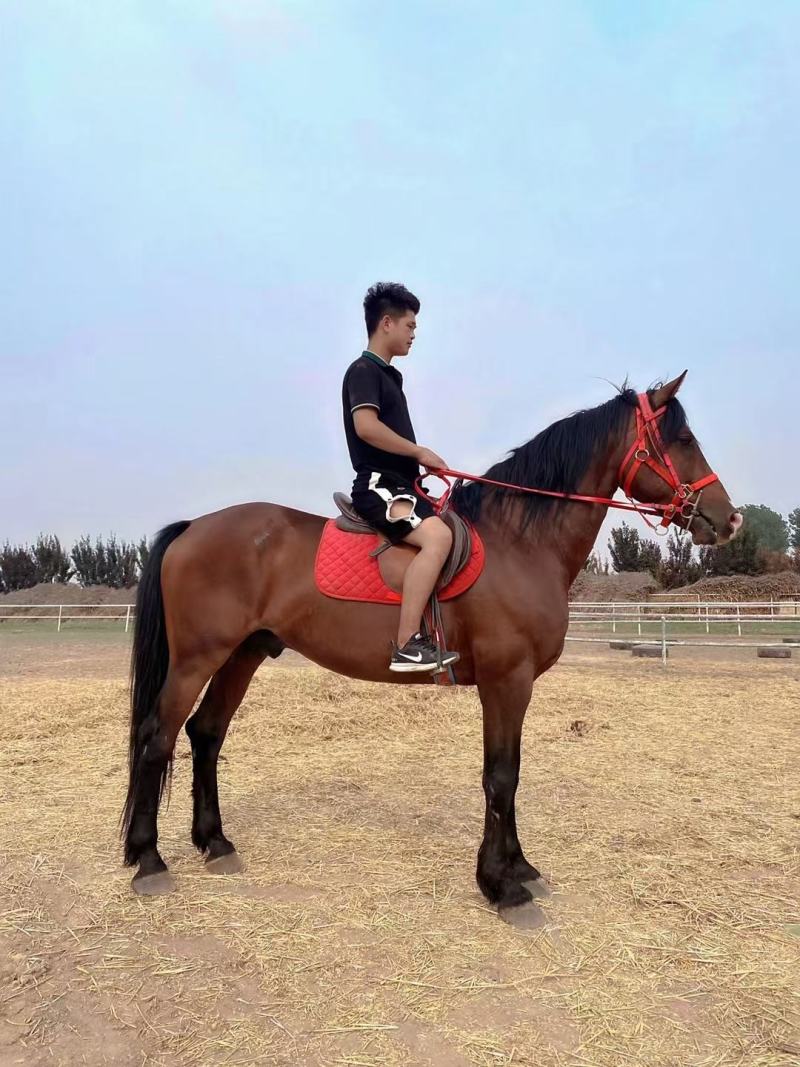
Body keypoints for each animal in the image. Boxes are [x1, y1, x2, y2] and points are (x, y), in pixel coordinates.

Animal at [121, 372, 741, 926]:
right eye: (684, 440)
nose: (728, 518)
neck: (520, 542)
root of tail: (193, 527)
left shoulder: (514, 686)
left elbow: (511, 773)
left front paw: (520, 869)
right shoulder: (506, 681)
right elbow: (501, 777)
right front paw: (502, 887)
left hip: (242, 654)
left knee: (205, 734)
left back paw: (215, 843)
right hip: (198, 657)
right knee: (157, 738)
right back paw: (149, 860)